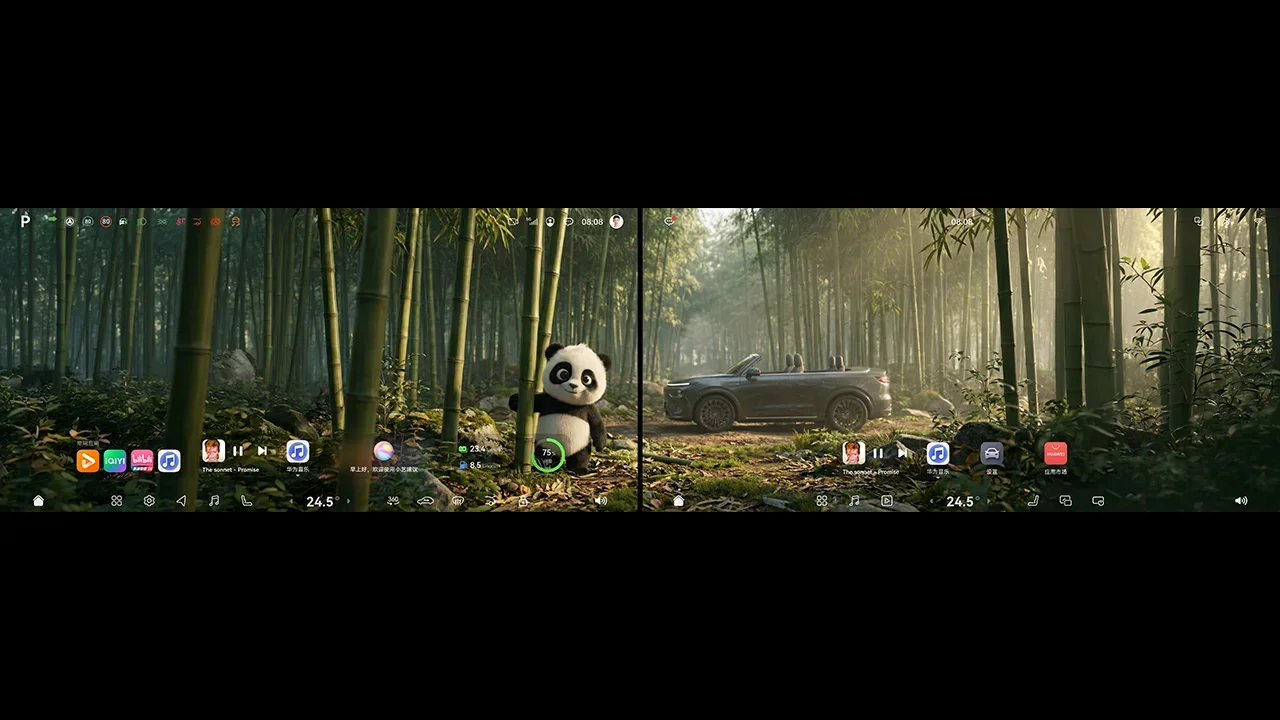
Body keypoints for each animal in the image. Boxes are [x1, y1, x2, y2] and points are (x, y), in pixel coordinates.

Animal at [508, 343, 611, 474]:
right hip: (545, 444)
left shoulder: (587, 408)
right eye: (563, 374)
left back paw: (579, 469)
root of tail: (564, 454)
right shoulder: (549, 400)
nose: (573, 385)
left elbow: (597, 423)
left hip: (581, 444)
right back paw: (546, 466)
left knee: (581, 455)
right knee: (544, 454)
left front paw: (600, 446)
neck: (567, 403)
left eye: (586, 379)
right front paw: (515, 400)